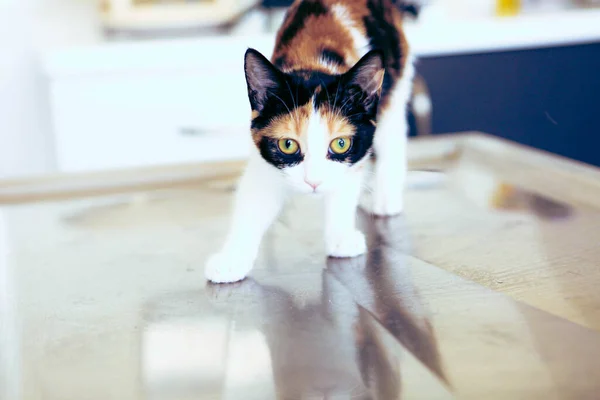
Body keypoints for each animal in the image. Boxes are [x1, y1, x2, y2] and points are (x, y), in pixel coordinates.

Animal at [206, 0, 418, 282]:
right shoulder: (263, 159)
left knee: (392, 134)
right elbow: (253, 201)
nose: (313, 182)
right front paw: (232, 259)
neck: (313, 63)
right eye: (288, 145)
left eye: (340, 144)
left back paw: (385, 199)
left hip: (396, 84)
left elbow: (346, 186)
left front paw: (341, 238)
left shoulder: (357, 147)